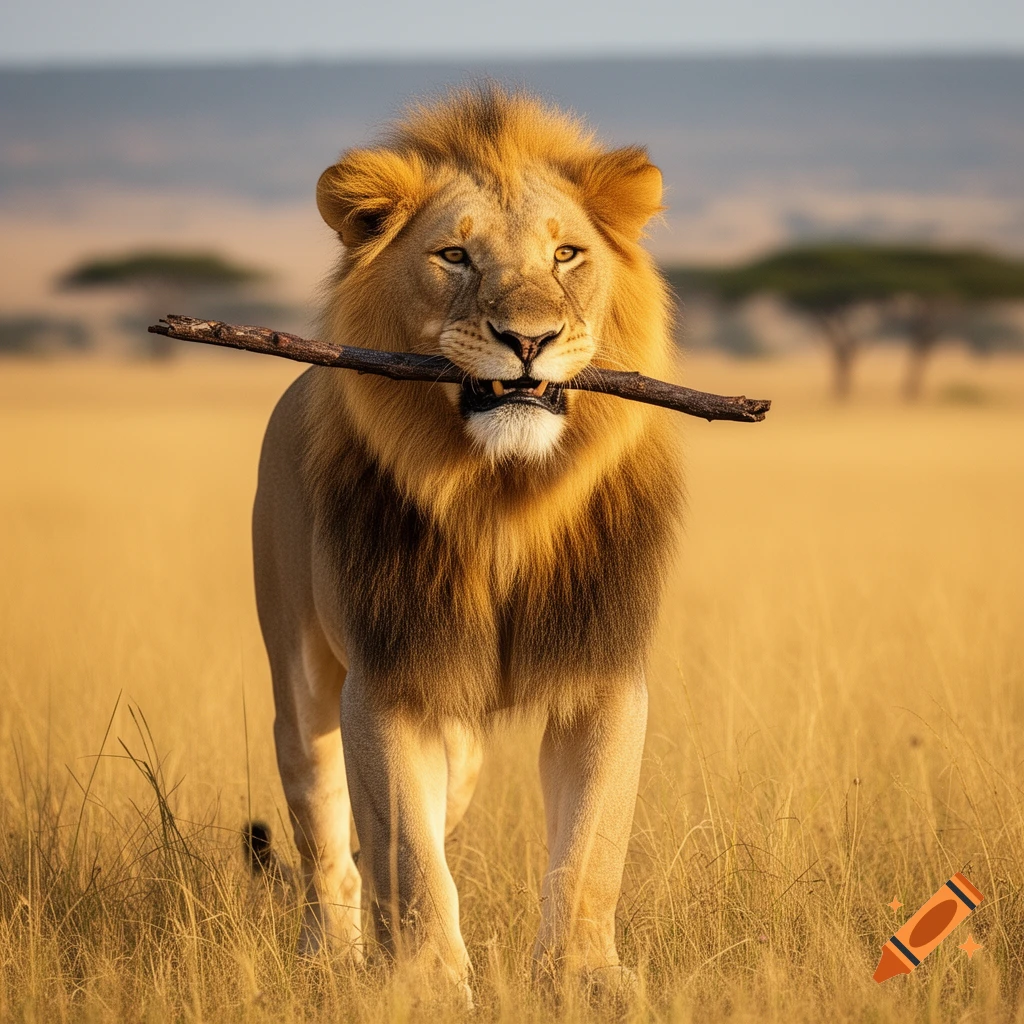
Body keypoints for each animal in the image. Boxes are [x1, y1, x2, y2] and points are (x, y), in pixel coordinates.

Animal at [251, 85, 683, 1001]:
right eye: (453, 255)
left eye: (566, 254)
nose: (528, 341)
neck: (502, 500)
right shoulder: (387, 679)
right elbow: (409, 857)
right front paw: (423, 985)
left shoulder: (605, 673)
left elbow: (590, 851)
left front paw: (585, 980)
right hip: (299, 676)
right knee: (325, 833)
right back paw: (330, 954)